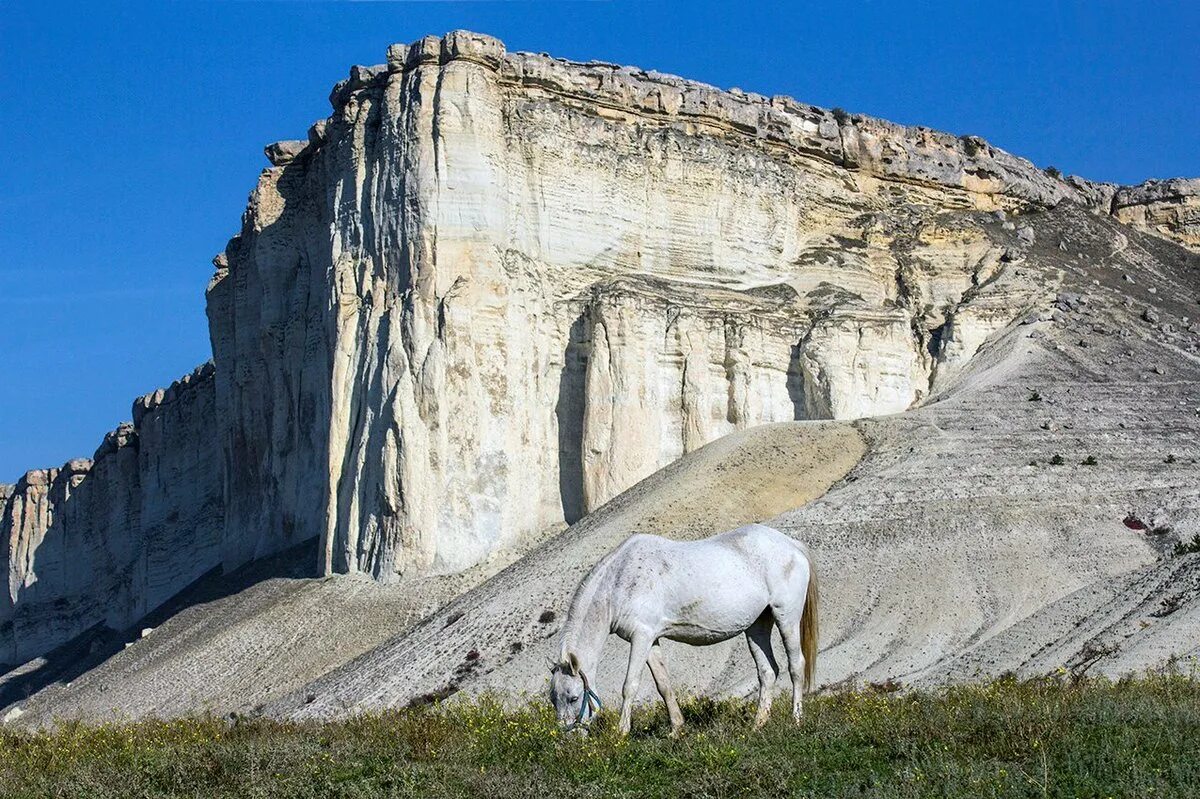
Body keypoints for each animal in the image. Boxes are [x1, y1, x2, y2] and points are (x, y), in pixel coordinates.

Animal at [549, 523, 816, 734]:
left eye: (573, 697)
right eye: (554, 700)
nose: (568, 737)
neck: (618, 582)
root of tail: (791, 544)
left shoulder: (641, 637)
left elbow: (630, 685)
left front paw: (621, 733)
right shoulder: (651, 640)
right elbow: (663, 685)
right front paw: (676, 729)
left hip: (786, 618)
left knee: (795, 665)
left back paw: (796, 719)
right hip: (757, 626)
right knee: (768, 672)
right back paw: (757, 725)